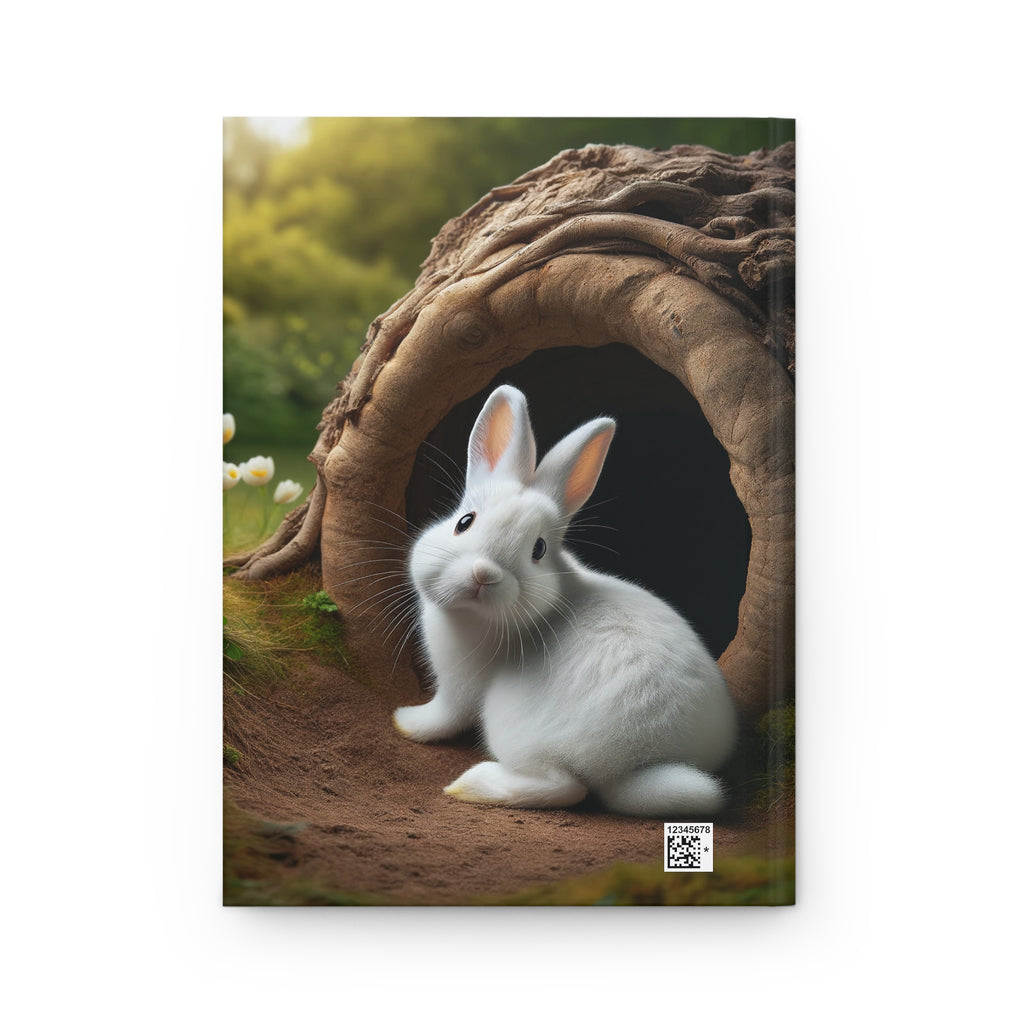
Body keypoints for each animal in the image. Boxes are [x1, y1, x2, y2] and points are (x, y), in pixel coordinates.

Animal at [393, 384, 738, 817]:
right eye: (464, 522)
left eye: (538, 549)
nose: (484, 574)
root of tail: (635, 764)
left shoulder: (459, 686)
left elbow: (442, 717)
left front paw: (405, 720)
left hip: (514, 725)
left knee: (564, 787)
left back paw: (470, 785)